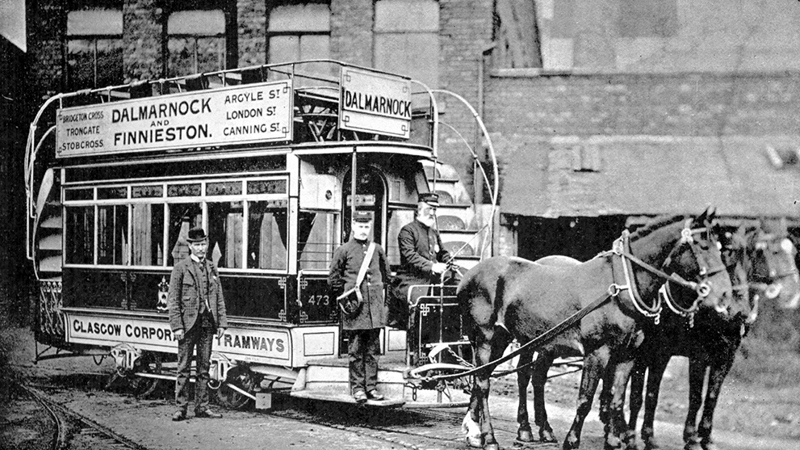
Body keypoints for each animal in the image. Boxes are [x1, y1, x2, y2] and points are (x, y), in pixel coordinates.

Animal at [456, 212, 736, 450]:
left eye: (721, 248)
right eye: (702, 245)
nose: (725, 295)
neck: (621, 287)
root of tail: (470, 274)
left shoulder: (627, 356)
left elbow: (616, 399)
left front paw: (613, 440)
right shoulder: (597, 353)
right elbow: (585, 400)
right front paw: (572, 441)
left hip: (507, 339)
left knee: (489, 377)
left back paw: (479, 432)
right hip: (486, 337)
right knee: (483, 383)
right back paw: (489, 438)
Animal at [628, 217, 796, 446]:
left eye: (793, 251)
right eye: (771, 251)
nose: (792, 294)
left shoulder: (727, 355)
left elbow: (712, 396)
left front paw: (706, 436)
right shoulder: (698, 355)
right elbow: (695, 396)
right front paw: (691, 436)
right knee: (635, 389)